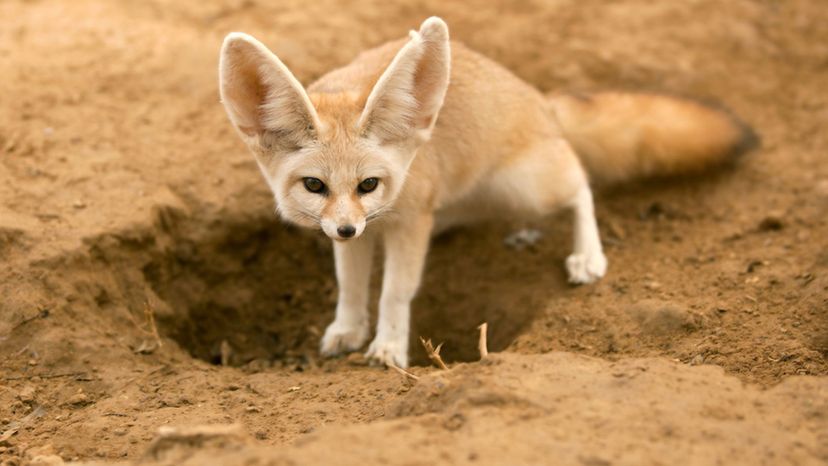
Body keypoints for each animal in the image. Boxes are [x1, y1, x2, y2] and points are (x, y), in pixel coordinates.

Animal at [220, 17, 756, 368]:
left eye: (368, 184)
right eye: (315, 185)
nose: (347, 228)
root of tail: (541, 101)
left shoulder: (408, 222)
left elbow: (395, 291)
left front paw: (389, 347)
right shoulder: (363, 232)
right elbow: (350, 286)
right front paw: (348, 329)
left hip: (527, 185)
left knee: (580, 181)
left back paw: (587, 255)